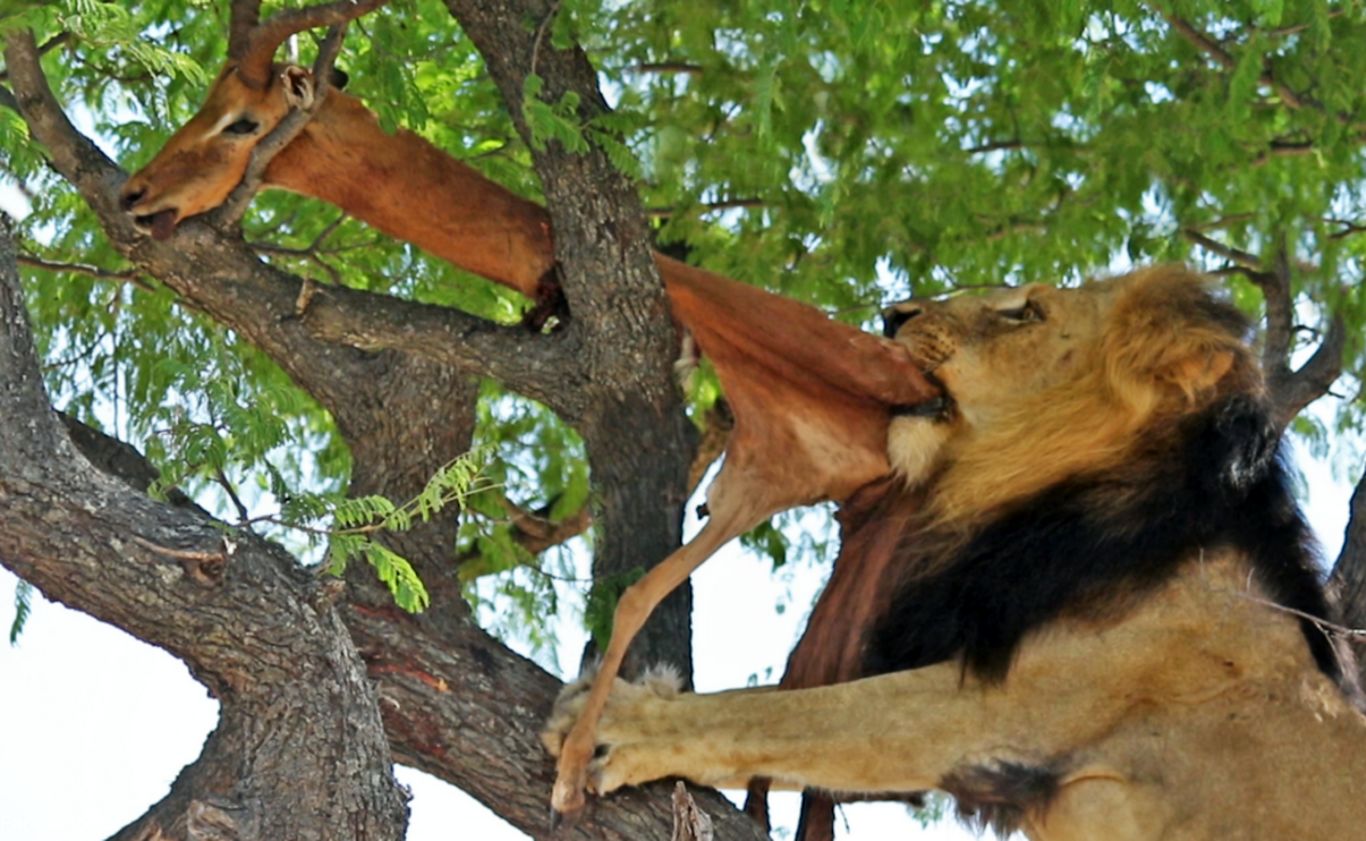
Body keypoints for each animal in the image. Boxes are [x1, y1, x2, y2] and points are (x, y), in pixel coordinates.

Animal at [549, 267, 1366, 841]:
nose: (893, 314)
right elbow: (786, 717)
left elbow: (789, 717)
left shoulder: (999, 710)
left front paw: (618, 719)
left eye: (1027, 313)